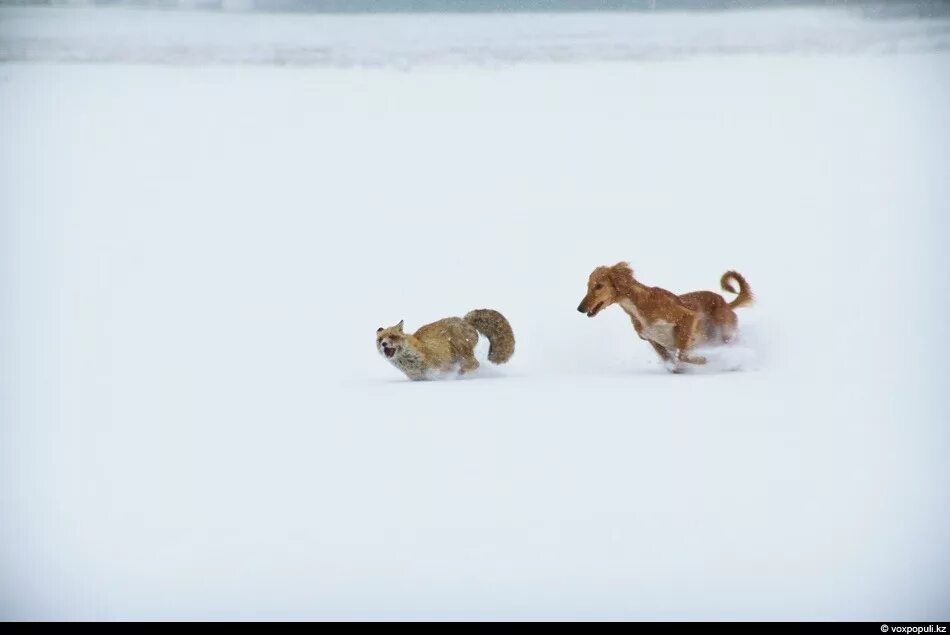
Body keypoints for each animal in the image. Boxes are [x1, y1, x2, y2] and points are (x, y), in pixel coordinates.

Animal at [376, 310, 516, 380]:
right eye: (380, 339)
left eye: (393, 336)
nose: (384, 344)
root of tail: (464, 320)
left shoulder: (442, 365)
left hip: (460, 349)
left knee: (474, 364)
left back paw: (461, 374)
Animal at [576, 264, 756, 372]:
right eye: (588, 286)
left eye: (599, 286)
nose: (580, 308)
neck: (639, 305)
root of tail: (726, 303)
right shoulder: (652, 339)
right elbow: (671, 360)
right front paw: (678, 368)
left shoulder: (686, 317)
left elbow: (681, 355)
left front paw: (701, 360)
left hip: (724, 334)